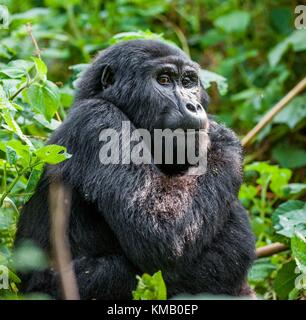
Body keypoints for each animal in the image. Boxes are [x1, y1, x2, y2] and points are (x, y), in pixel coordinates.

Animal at [15, 40, 255, 300]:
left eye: (188, 82)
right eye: (164, 80)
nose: (194, 106)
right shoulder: (100, 120)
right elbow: (159, 230)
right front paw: (222, 138)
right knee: (114, 271)